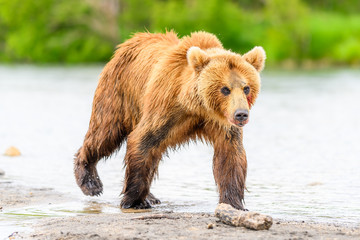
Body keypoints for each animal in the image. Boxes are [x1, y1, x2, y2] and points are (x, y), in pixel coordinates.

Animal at [74, 30, 264, 210]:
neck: (197, 106)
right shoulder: (166, 107)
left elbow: (230, 155)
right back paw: (90, 181)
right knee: (105, 133)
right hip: (118, 93)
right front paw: (135, 201)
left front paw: (234, 203)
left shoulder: (221, 124)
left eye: (246, 87)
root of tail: (128, 42)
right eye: (225, 89)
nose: (241, 114)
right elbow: (143, 140)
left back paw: (150, 196)